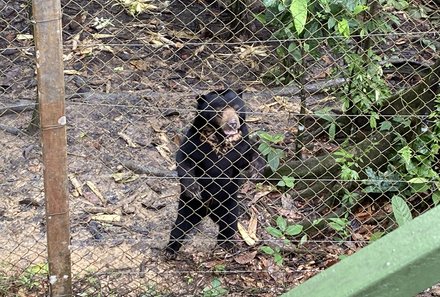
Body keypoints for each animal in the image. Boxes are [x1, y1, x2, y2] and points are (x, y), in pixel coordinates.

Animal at [168, 88, 258, 254]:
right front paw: (194, 188)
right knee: (181, 224)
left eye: (236, 107)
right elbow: (184, 158)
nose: (233, 123)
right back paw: (171, 249)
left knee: (229, 222)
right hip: (190, 205)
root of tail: (208, 211)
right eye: (219, 110)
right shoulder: (194, 140)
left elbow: (245, 158)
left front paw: (256, 167)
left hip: (229, 202)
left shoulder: (241, 143)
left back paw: (227, 243)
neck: (220, 137)